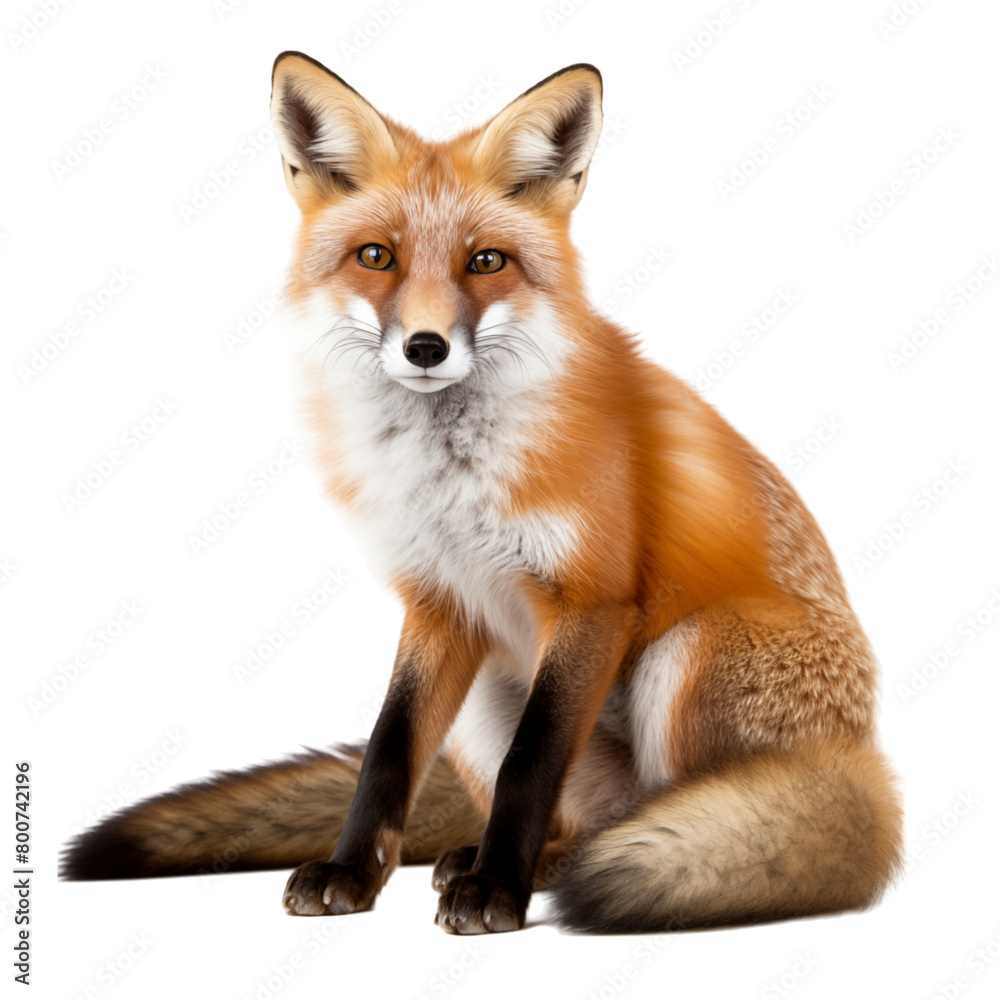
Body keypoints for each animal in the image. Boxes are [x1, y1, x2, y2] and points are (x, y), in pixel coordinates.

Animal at [61, 52, 903, 935]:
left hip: (690, 652)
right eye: (376, 257)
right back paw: (504, 858)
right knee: (584, 820)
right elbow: (389, 753)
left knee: (669, 811)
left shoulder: (593, 599)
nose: (426, 347)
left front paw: (498, 888)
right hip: (487, 699)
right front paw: (351, 872)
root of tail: (862, 766)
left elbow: (529, 763)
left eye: (487, 261)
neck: (451, 478)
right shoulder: (439, 601)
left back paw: (551, 870)